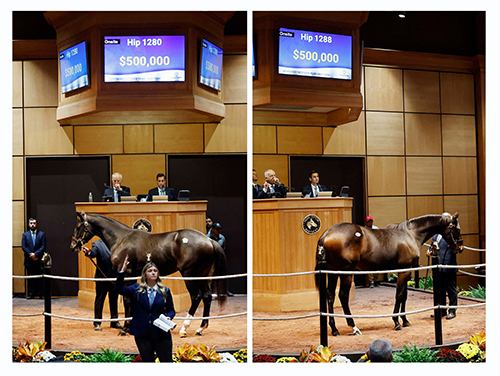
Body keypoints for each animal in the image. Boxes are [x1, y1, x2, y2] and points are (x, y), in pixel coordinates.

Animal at [69, 212, 228, 338]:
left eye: (78, 227)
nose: (73, 246)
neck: (121, 238)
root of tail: (209, 240)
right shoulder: (133, 277)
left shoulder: (127, 275)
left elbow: (127, 301)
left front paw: (125, 329)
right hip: (202, 276)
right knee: (207, 297)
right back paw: (201, 328)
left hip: (190, 275)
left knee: (196, 297)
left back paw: (184, 328)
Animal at [316, 213, 464, 336]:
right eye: (457, 229)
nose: (461, 248)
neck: (411, 234)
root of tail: (327, 233)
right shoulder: (404, 271)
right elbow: (399, 295)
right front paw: (397, 322)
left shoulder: (407, 271)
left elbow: (404, 295)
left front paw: (405, 320)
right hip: (346, 272)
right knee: (342, 296)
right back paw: (353, 327)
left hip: (333, 272)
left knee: (330, 295)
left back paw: (334, 328)